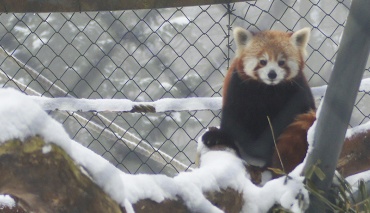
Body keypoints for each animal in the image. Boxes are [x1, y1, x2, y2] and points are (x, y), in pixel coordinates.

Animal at [202, 27, 316, 175]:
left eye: (281, 62)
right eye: (263, 61)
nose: (272, 74)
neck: (267, 88)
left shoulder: (297, 92)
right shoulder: (237, 88)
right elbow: (232, 117)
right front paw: (221, 136)